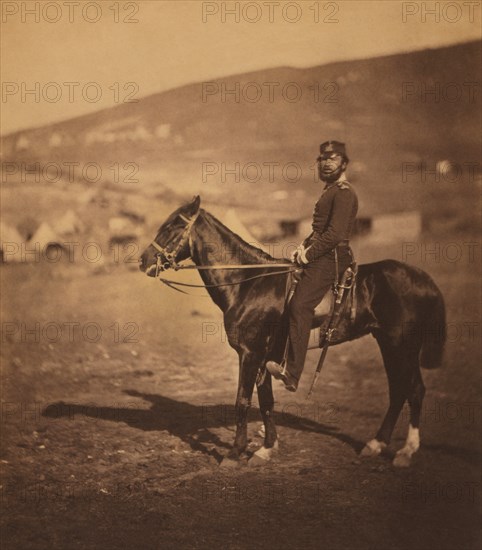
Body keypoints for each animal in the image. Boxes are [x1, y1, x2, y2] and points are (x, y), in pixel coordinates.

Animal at [138, 196, 444, 468]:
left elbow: (242, 401)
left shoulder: (250, 354)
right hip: (390, 344)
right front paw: (266, 449)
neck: (248, 283)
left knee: (413, 390)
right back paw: (376, 444)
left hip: (401, 346)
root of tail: (424, 279)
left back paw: (406, 451)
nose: (143, 260)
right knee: (400, 390)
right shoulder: (263, 357)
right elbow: (266, 402)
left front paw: (235, 453)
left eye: (173, 226)